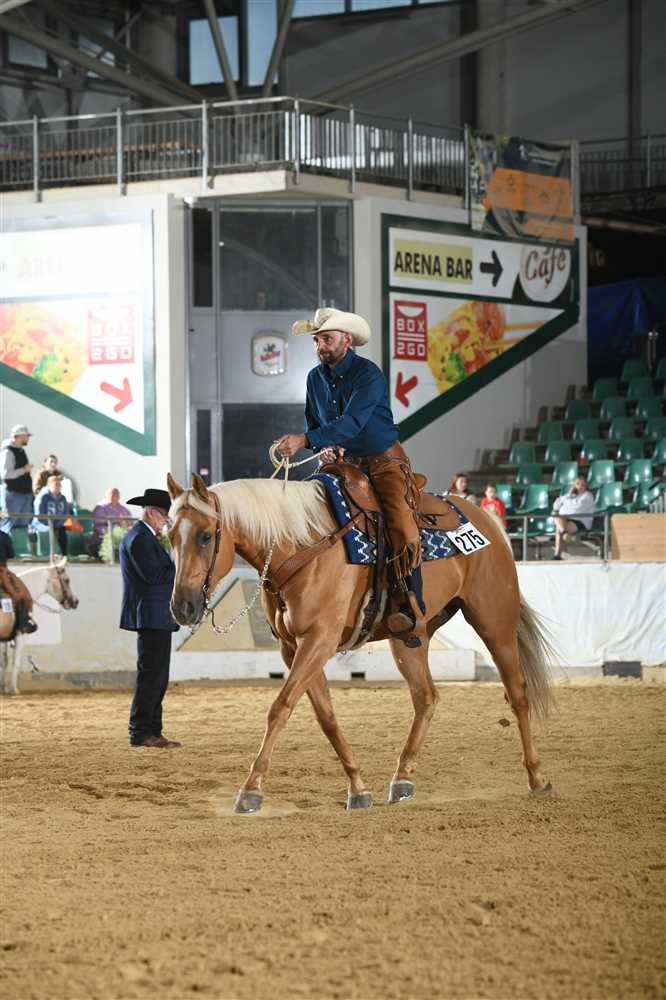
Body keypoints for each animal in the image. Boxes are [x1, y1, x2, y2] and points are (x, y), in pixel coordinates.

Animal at [0, 558, 79, 695]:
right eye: (67, 580)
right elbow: (16, 662)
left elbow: (4, 661)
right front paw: (14, 689)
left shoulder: (5, 637)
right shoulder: (22, 635)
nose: (75, 601)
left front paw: (4, 688)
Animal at [166, 472, 554, 813]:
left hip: (495, 623)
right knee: (426, 697)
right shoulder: (293, 648)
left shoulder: (319, 640)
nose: (182, 606)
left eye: (205, 536)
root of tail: (487, 520)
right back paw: (402, 779)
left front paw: (250, 790)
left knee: (518, 694)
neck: (301, 547)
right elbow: (326, 717)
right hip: (410, 639)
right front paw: (358, 787)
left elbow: (280, 707)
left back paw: (537, 777)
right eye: (170, 534)